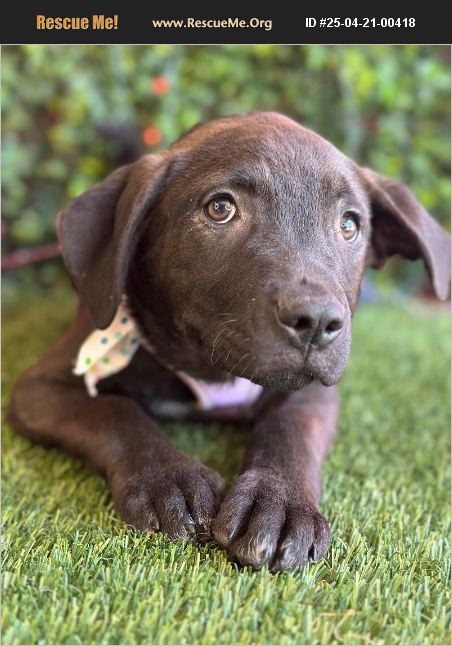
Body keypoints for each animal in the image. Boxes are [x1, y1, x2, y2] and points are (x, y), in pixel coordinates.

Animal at [9, 112, 450, 571]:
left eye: (349, 225)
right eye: (220, 208)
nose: (316, 322)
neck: (212, 370)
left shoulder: (315, 393)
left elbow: (288, 427)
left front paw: (279, 502)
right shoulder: (39, 387)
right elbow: (113, 411)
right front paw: (168, 479)